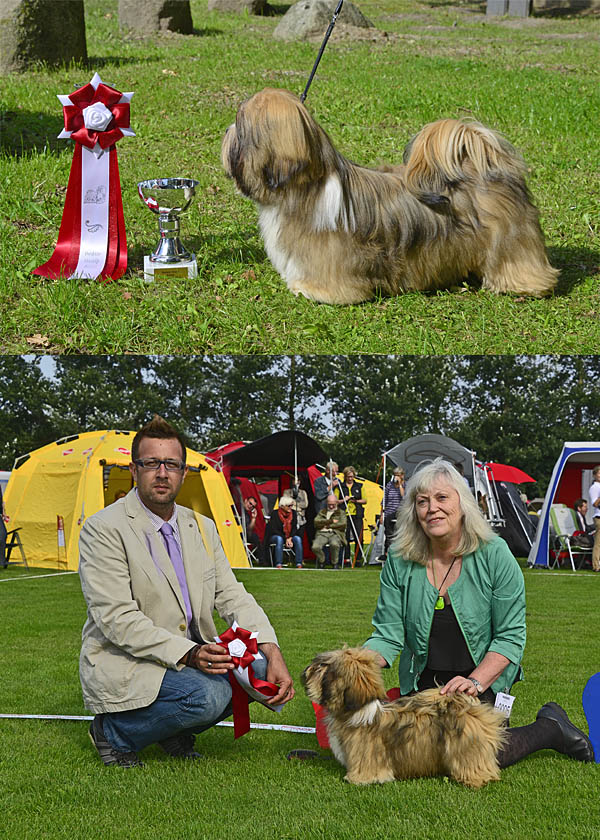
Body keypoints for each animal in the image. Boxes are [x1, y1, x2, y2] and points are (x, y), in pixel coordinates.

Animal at [223, 88, 560, 306]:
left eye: (240, 123)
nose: (227, 129)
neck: (307, 187)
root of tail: (488, 164)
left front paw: (315, 291)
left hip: (511, 240)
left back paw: (525, 285)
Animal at [300, 648, 506, 792]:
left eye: (323, 668)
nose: (306, 670)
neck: (357, 711)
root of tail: (467, 708)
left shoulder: (366, 753)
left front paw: (357, 780)